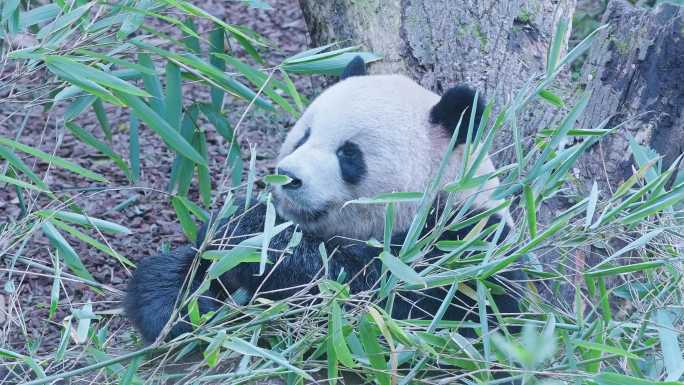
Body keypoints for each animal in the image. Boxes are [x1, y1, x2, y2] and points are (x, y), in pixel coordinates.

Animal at [125, 55, 524, 344]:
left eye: (349, 154)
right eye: (303, 136)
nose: (288, 176)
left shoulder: (470, 244)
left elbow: (389, 302)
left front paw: (252, 235)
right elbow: (180, 270)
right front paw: (182, 309)